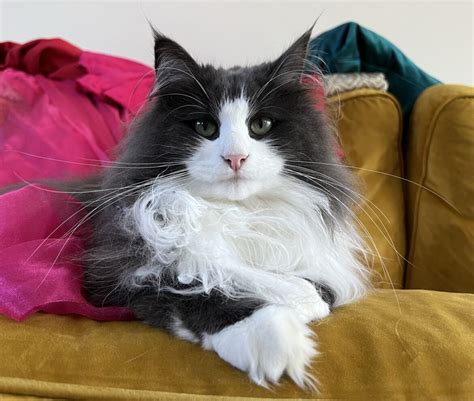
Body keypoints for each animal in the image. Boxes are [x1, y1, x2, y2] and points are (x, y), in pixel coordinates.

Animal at [80, 27, 370, 388]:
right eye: (205, 127)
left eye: (261, 125)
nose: (235, 158)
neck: (237, 213)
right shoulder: (122, 271)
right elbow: (206, 288)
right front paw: (275, 339)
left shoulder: (325, 265)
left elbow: (304, 283)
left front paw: (304, 301)